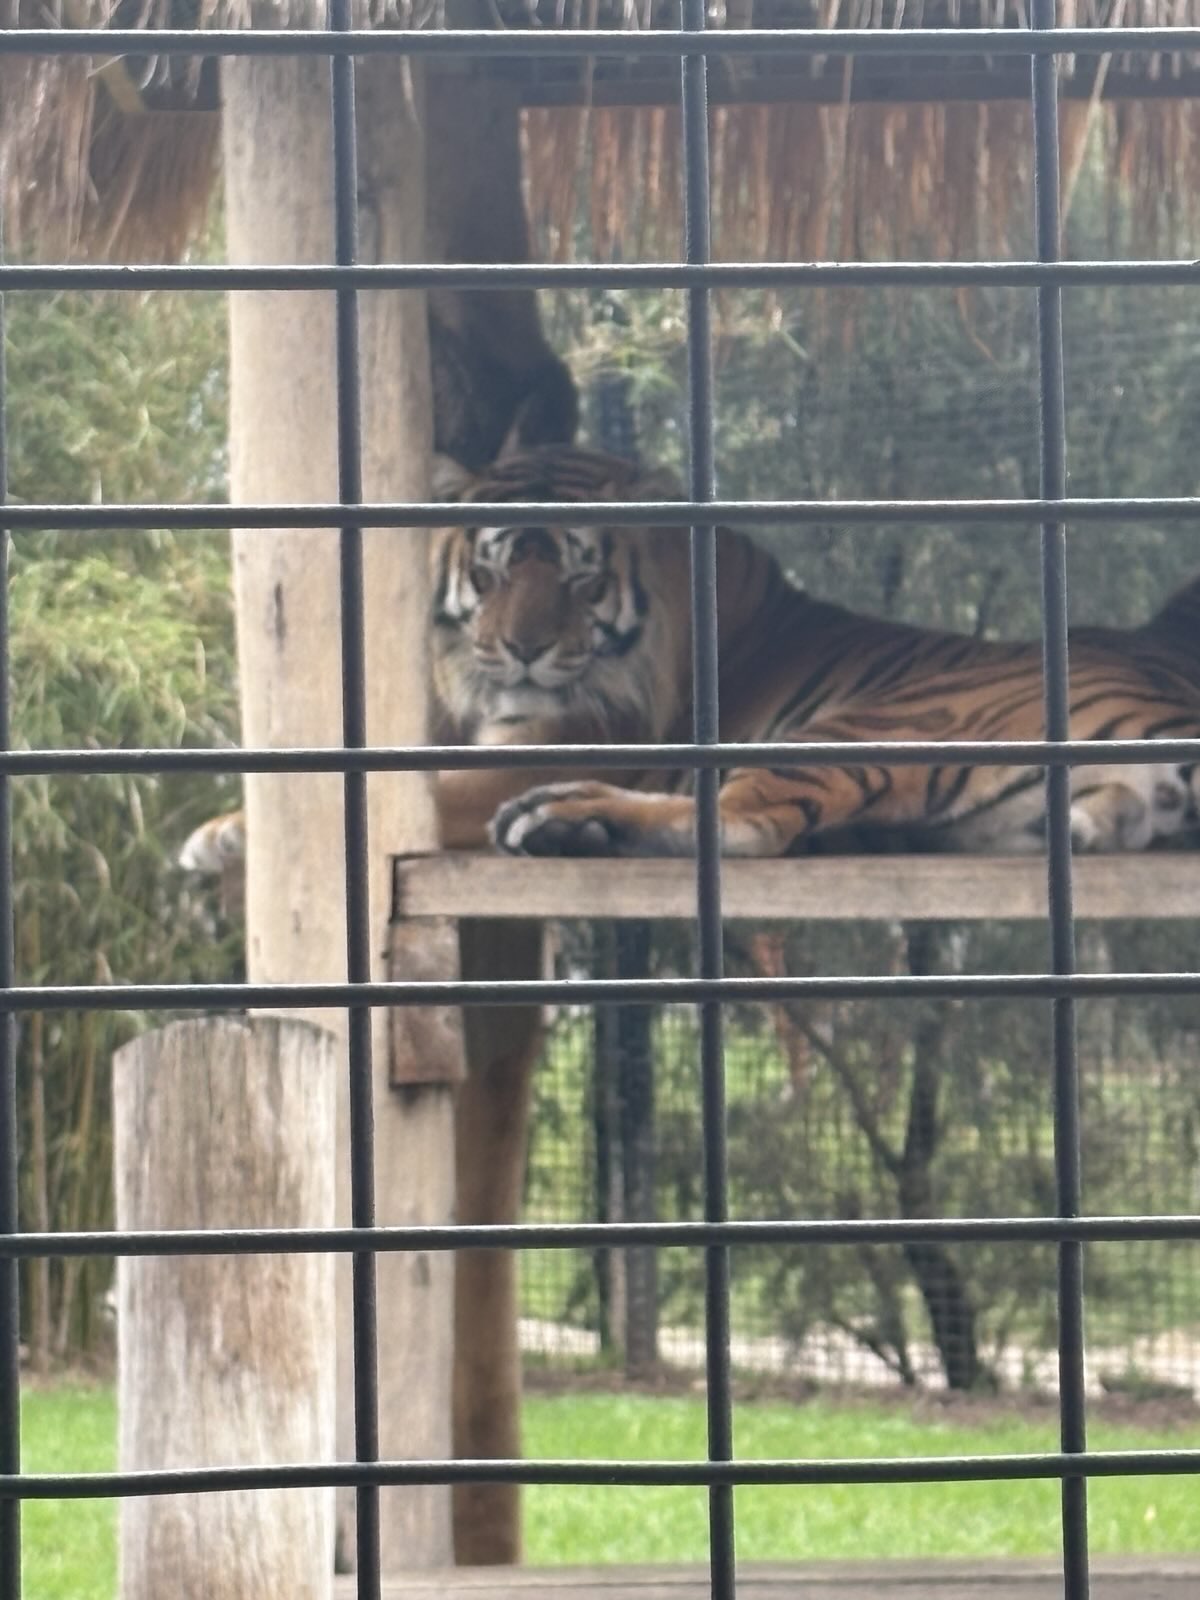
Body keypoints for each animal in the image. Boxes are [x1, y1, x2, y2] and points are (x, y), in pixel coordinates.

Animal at [179, 444, 1200, 875]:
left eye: (582, 580)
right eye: (494, 570)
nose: (521, 649)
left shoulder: (540, 748)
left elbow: (400, 790)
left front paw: (219, 833)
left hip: (886, 722)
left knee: (744, 821)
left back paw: (563, 819)